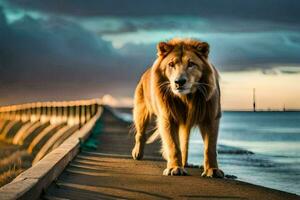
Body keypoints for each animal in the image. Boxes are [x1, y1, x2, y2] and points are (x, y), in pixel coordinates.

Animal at [130, 38, 224, 178]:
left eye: (191, 64)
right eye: (171, 64)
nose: (179, 82)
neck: (186, 98)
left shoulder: (211, 117)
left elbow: (210, 148)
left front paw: (212, 170)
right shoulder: (167, 118)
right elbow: (173, 145)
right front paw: (174, 168)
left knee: (184, 143)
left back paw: (185, 162)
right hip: (141, 111)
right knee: (140, 134)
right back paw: (137, 153)